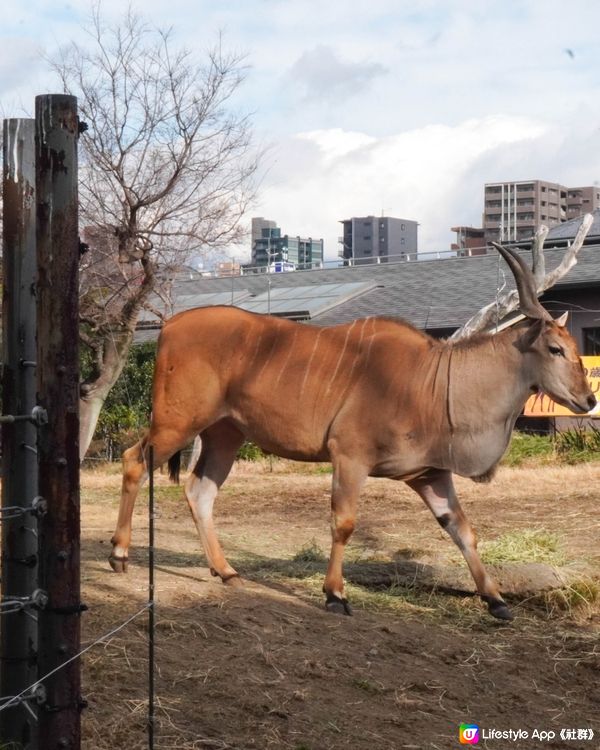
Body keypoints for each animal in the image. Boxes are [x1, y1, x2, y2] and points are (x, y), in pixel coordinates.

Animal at [111, 242, 596, 624]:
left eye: (575, 348)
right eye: (555, 349)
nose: (588, 399)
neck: (432, 381)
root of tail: (170, 326)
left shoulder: (430, 475)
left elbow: (462, 529)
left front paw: (496, 600)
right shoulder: (350, 457)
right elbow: (343, 523)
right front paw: (335, 594)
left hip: (224, 435)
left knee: (200, 492)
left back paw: (226, 570)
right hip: (177, 423)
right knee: (134, 461)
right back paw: (119, 555)